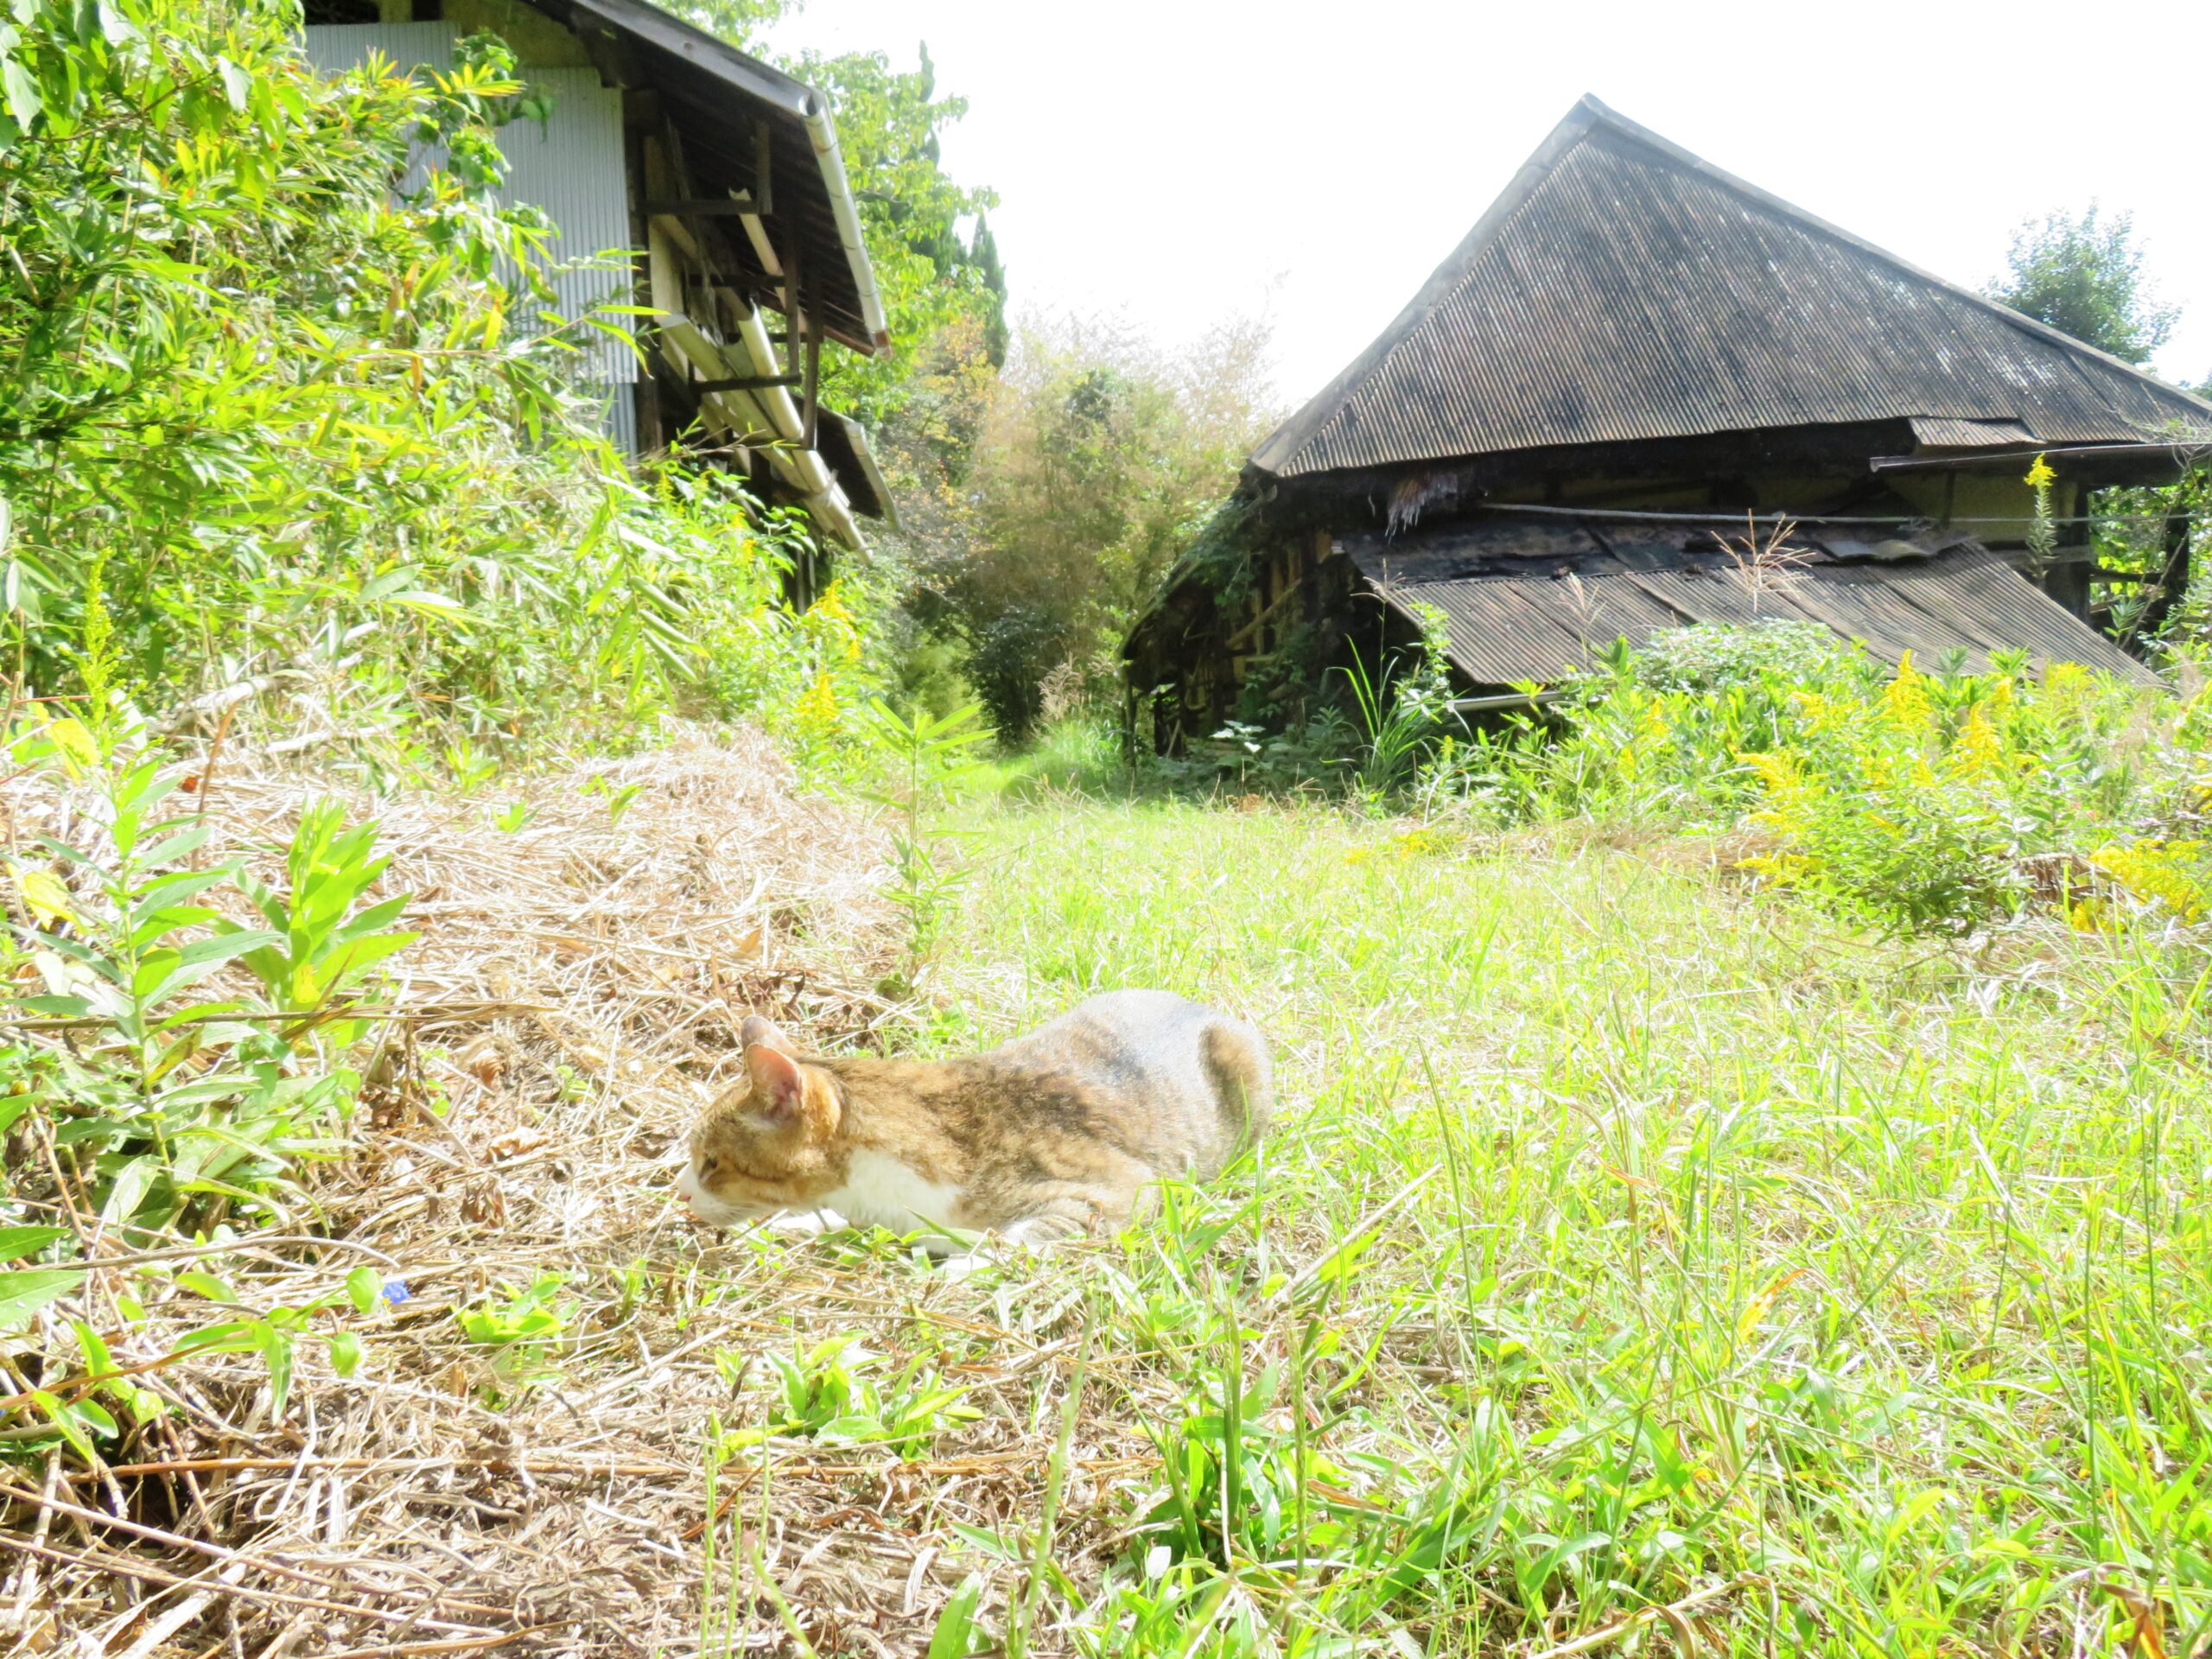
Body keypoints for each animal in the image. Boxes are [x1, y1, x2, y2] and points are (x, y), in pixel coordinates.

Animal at [664, 986, 1274, 1256]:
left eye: (711, 1162)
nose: (681, 1193)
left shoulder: (1123, 1188)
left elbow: (1024, 1236)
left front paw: (967, 1261)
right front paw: (800, 1223)